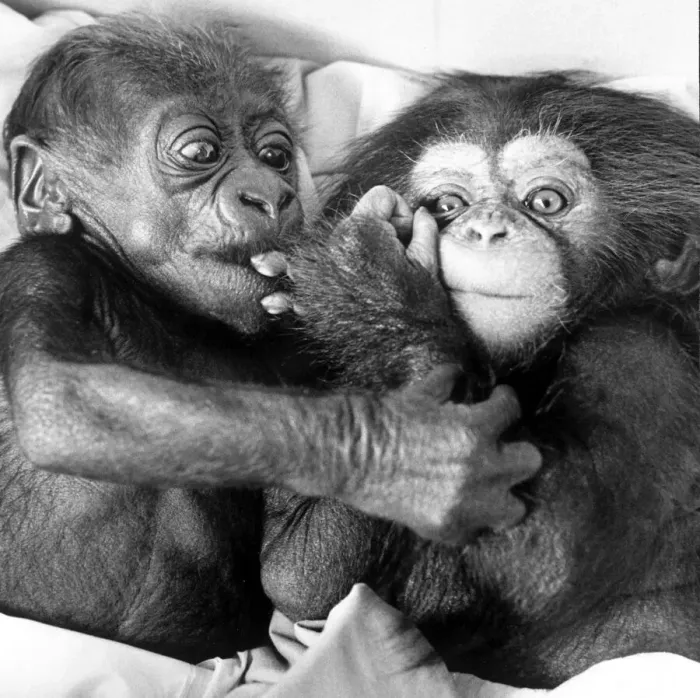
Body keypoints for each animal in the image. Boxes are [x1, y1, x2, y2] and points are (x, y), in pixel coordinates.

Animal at [0, 17, 542, 662]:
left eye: (275, 157)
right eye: (201, 153)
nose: (270, 194)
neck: (168, 309)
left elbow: (307, 571)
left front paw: (377, 293)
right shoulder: (42, 269)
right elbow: (59, 398)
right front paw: (419, 457)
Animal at [254, 72, 700, 688]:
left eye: (546, 201)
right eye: (448, 204)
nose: (486, 228)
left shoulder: (638, 357)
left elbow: (539, 543)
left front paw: (367, 280)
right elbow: (299, 571)